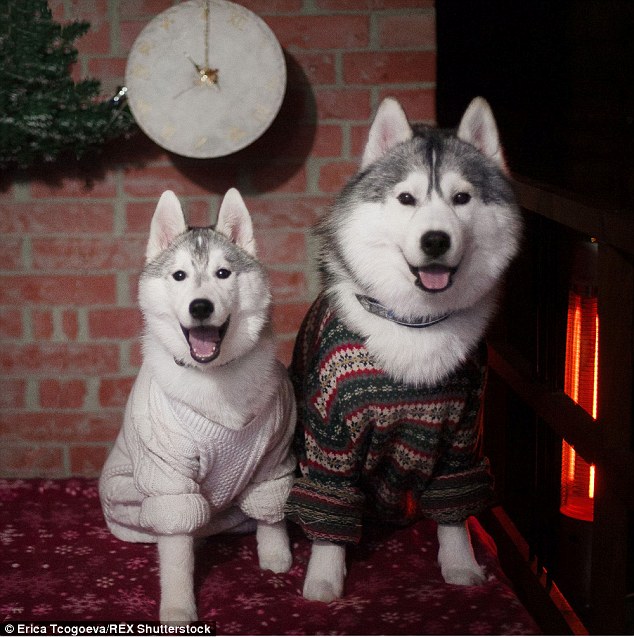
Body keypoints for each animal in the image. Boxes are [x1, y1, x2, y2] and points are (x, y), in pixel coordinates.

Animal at [99, 190, 296, 620]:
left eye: (223, 273)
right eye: (179, 276)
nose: (201, 307)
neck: (214, 378)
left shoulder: (275, 454)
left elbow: (271, 509)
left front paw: (276, 554)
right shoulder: (169, 477)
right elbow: (176, 551)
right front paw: (178, 606)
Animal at [284, 97, 520, 600]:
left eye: (462, 198)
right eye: (406, 198)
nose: (435, 240)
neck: (414, 322)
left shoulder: (463, 432)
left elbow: (455, 507)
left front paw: (461, 564)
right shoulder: (330, 432)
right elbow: (329, 505)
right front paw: (324, 578)